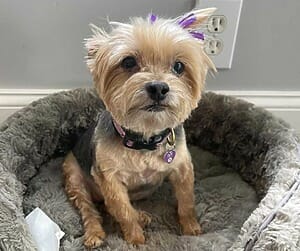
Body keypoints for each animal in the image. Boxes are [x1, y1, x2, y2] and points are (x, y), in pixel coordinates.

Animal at [62, 8, 216, 249]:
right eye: (128, 62)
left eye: (179, 66)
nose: (158, 87)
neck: (144, 139)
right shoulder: (110, 179)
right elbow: (123, 211)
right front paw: (135, 239)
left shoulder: (182, 167)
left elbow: (186, 201)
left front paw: (191, 228)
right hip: (73, 174)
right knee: (89, 208)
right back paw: (95, 233)